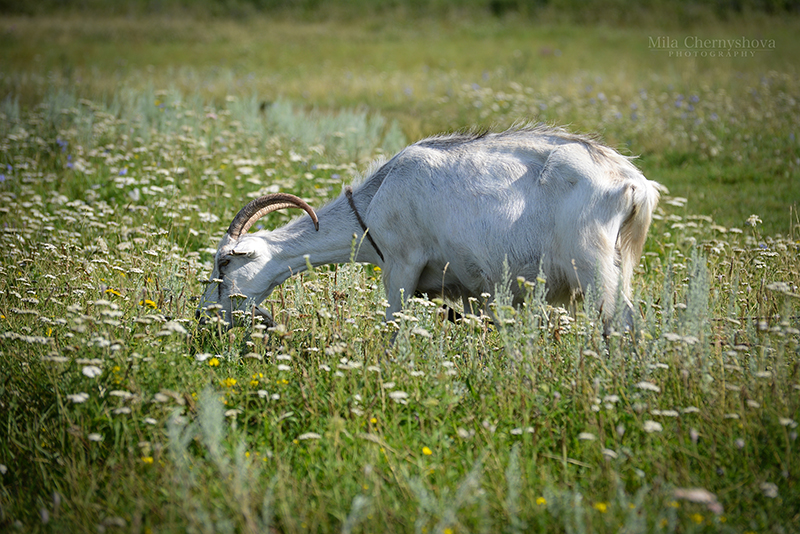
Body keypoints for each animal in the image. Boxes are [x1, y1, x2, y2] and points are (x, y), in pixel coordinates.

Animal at [197, 124, 661, 332]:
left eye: (225, 263)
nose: (202, 317)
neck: (377, 196)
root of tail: (633, 184)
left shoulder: (401, 265)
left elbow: (392, 327)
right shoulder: (464, 290)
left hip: (594, 266)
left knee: (624, 323)